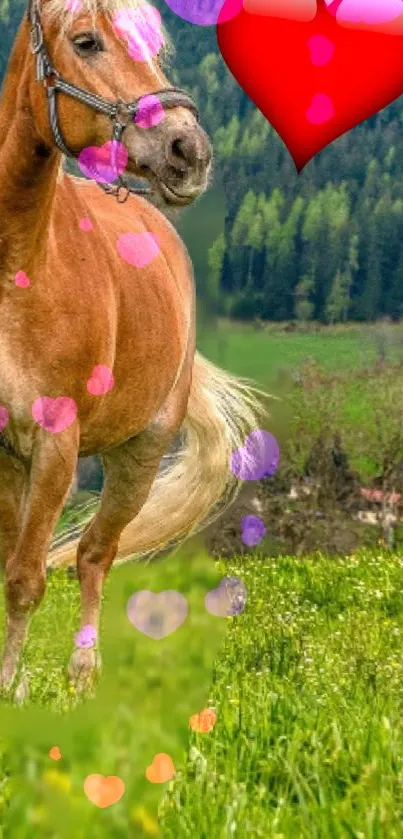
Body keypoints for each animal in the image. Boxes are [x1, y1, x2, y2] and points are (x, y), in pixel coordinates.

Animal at [0, 0, 263, 702]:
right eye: (86, 41)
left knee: (94, 555)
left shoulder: (56, 448)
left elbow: (26, 578)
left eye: (155, 47)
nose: (187, 150)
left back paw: (83, 673)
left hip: (138, 456)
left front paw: (12, 692)